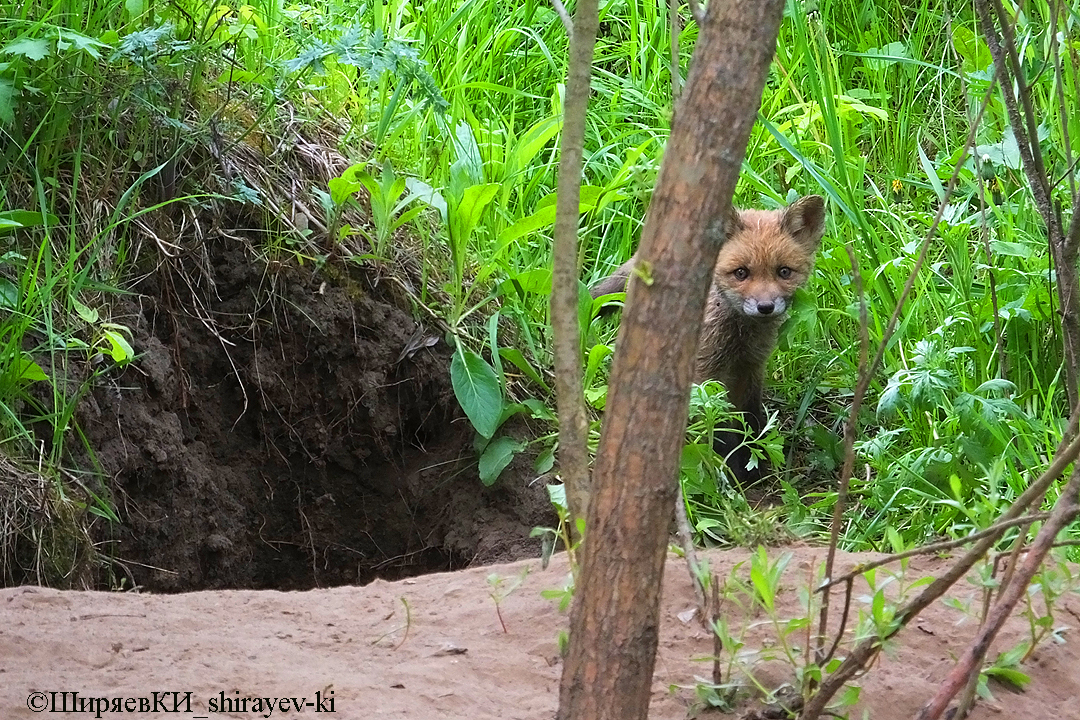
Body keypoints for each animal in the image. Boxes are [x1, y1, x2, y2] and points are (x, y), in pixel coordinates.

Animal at [591, 197, 825, 474]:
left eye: (784, 272)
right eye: (741, 273)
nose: (765, 307)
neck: (739, 338)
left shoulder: (751, 366)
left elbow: (751, 420)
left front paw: (755, 465)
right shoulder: (706, 373)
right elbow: (722, 432)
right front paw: (730, 471)